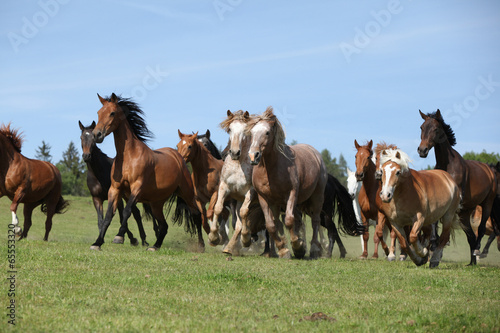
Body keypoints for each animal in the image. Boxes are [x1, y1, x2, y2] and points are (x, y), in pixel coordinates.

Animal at [91, 92, 205, 250]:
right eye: (98, 113)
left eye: (112, 113)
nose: (97, 135)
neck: (129, 156)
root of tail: (178, 157)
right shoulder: (115, 189)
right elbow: (108, 216)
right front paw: (97, 242)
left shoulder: (137, 188)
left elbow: (127, 211)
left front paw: (119, 236)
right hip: (156, 203)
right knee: (164, 225)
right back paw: (155, 246)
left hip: (186, 193)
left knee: (196, 214)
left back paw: (201, 246)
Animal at [248, 106, 330, 256]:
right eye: (251, 132)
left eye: (267, 132)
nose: (253, 156)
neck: (271, 169)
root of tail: (314, 153)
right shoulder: (264, 198)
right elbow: (271, 225)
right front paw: (283, 249)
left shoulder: (291, 193)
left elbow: (289, 220)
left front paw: (298, 247)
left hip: (317, 196)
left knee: (315, 220)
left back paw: (314, 249)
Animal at [416, 109, 498, 264]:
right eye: (421, 127)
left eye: (436, 129)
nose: (422, 150)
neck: (448, 165)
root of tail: (490, 170)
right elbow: (435, 224)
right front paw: (433, 245)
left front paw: (437, 251)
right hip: (465, 213)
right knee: (471, 236)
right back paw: (472, 263)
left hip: (487, 204)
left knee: (481, 230)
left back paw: (478, 252)